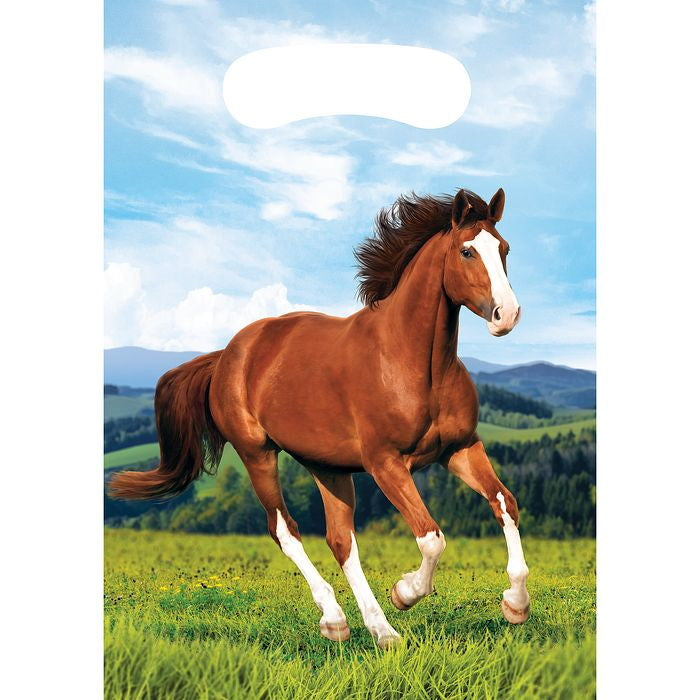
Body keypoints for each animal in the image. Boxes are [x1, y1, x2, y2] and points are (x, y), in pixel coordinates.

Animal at [110, 187, 530, 649]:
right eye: (467, 251)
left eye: (505, 249)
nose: (506, 315)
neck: (411, 361)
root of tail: (226, 356)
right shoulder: (385, 463)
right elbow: (431, 538)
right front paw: (404, 592)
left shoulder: (460, 448)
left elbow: (505, 504)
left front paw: (515, 605)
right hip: (257, 453)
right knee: (285, 530)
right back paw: (338, 620)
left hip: (327, 466)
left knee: (340, 540)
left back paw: (379, 630)